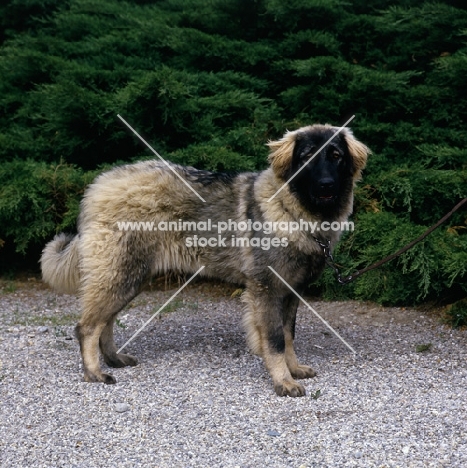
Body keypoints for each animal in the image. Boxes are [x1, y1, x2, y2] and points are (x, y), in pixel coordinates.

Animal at [41, 123, 370, 394]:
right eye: (306, 158)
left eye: (336, 155)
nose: (326, 185)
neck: (293, 212)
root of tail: (99, 185)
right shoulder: (266, 290)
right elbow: (275, 340)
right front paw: (283, 381)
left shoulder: (291, 293)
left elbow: (289, 336)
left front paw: (294, 368)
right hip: (121, 274)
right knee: (87, 327)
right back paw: (94, 373)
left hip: (129, 278)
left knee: (105, 322)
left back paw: (112, 359)